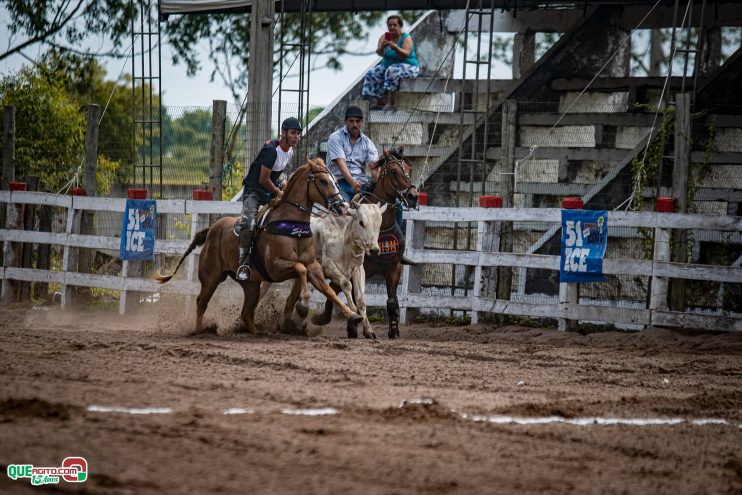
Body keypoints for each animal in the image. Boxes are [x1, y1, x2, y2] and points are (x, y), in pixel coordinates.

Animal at [156, 159, 364, 336]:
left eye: (335, 181)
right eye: (323, 181)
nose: (343, 207)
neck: (292, 227)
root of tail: (211, 230)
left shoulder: (314, 267)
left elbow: (327, 289)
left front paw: (353, 315)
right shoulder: (275, 267)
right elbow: (300, 269)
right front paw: (303, 307)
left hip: (251, 285)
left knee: (246, 311)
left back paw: (256, 332)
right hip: (211, 277)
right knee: (201, 302)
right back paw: (198, 330)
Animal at [312, 203, 386, 340]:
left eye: (379, 224)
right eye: (361, 222)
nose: (374, 250)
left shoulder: (358, 269)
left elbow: (361, 300)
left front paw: (368, 330)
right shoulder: (327, 266)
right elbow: (346, 285)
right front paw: (353, 316)